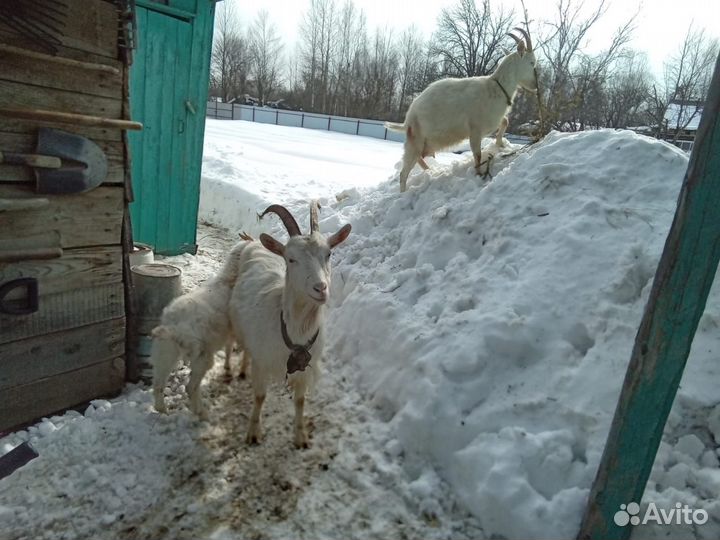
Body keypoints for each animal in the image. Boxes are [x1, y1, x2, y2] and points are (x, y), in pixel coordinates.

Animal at [229, 202, 351, 448]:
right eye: (291, 259)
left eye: (328, 254)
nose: (320, 288)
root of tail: (254, 243)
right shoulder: (262, 362)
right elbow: (259, 396)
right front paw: (253, 432)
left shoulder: (305, 369)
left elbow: (300, 400)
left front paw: (300, 436)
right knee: (246, 349)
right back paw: (243, 369)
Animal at [386, 27, 537, 192]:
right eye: (532, 62)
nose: (535, 85)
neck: (495, 88)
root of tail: (407, 120)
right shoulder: (475, 129)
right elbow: (477, 154)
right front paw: (479, 174)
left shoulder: (492, 121)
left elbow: (505, 121)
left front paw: (500, 144)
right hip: (415, 140)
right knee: (404, 173)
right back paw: (404, 191)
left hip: (424, 144)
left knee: (419, 159)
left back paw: (430, 170)